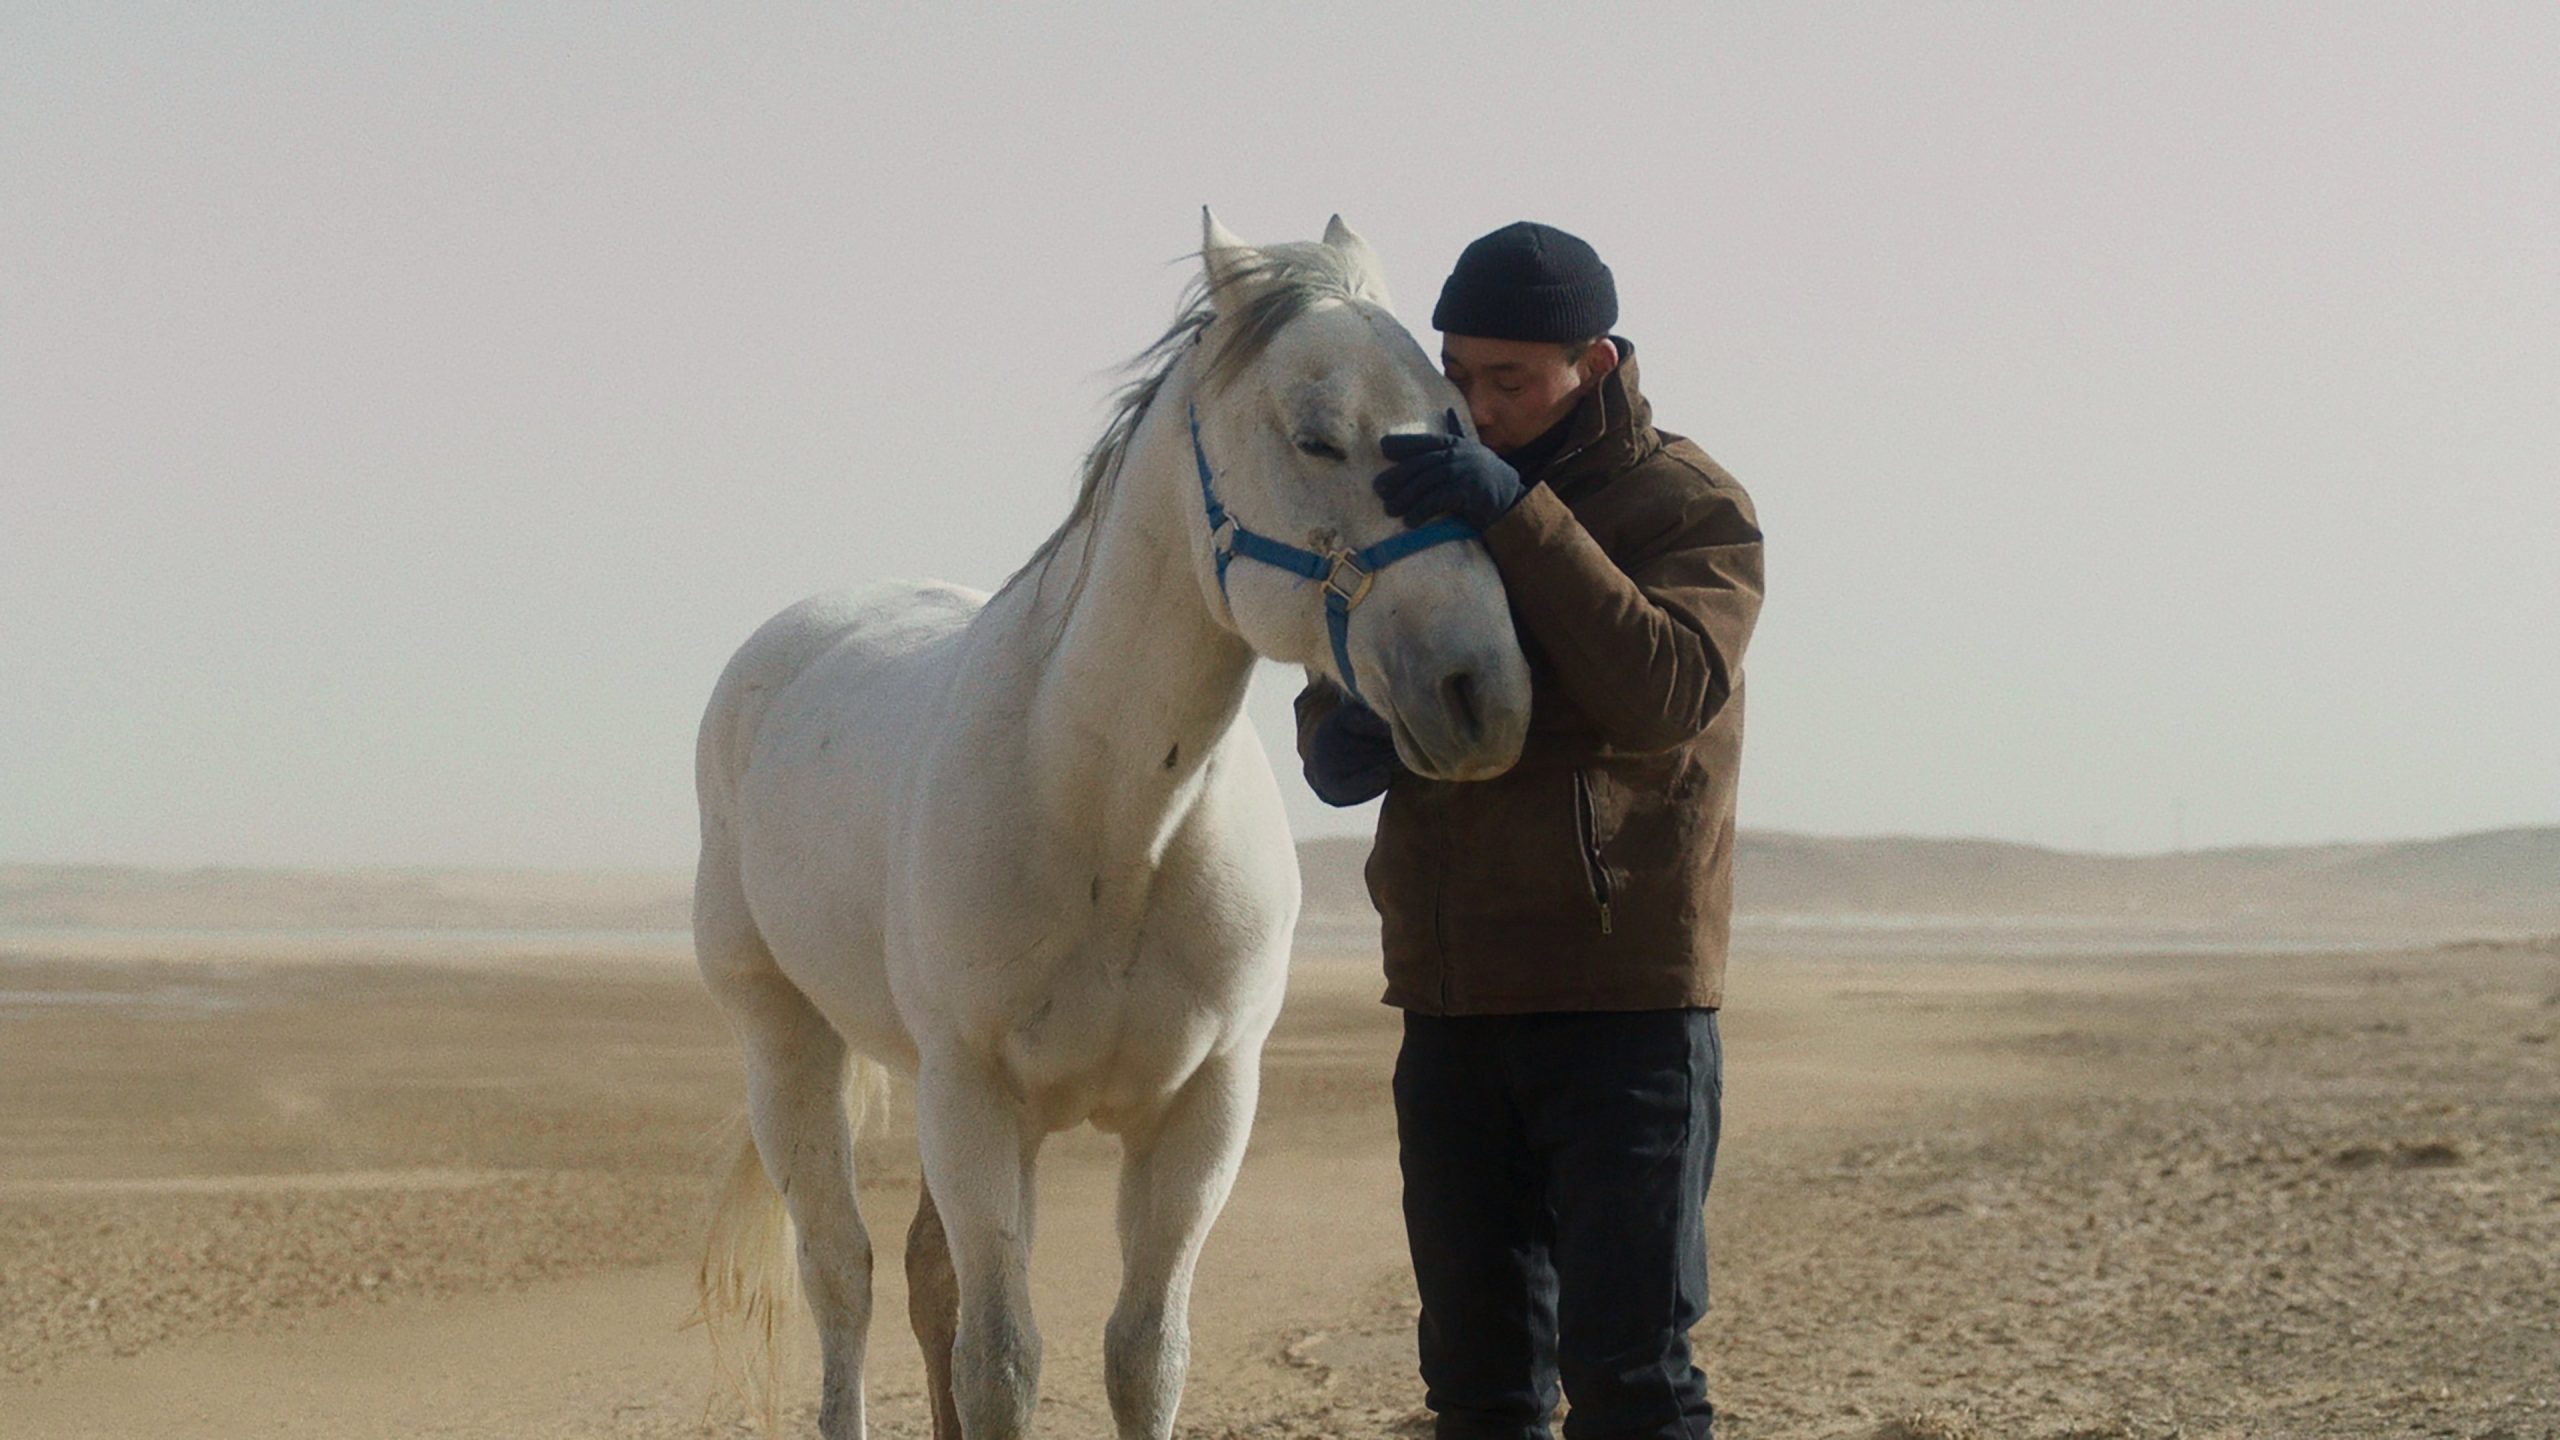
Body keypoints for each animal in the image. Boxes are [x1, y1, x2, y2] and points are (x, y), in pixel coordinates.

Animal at [689, 211, 1532, 1440]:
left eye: (1461, 423)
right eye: (1318, 437)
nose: (1482, 692)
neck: (1110, 819)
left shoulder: (1202, 1112)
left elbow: (1144, 1353)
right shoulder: (976, 1104)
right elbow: (1002, 1361)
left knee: (922, 1268)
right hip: (785, 1037)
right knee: (841, 1274)